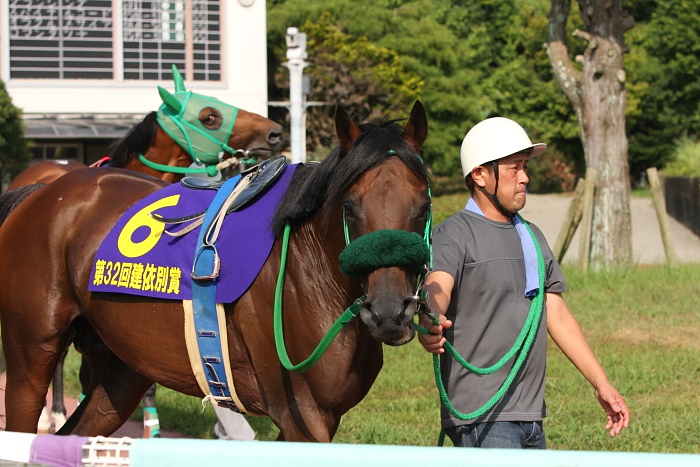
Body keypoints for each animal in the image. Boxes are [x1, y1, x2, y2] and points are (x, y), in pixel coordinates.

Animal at [0, 100, 432, 440]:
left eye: (424, 206)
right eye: (349, 206)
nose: (390, 311)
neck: (309, 270)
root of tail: (39, 193)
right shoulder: (303, 417)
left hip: (119, 370)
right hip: (30, 359)